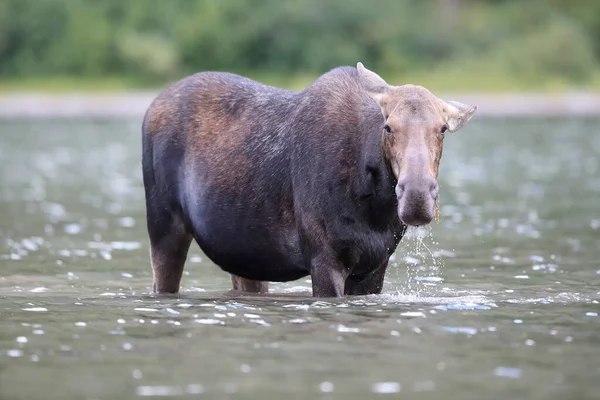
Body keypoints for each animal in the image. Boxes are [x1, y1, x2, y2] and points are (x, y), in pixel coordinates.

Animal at [143, 62, 476, 296]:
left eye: (442, 128)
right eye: (388, 127)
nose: (417, 197)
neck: (375, 203)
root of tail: (152, 105)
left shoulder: (375, 266)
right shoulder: (325, 259)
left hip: (244, 254)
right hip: (164, 226)